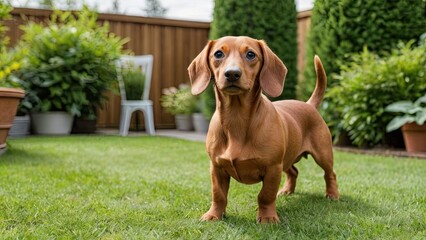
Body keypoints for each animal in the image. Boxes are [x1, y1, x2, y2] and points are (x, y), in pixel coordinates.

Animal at [188, 36, 338, 224]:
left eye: (251, 54)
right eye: (218, 54)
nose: (232, 73)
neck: (237, 119)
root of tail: (309, 104)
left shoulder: (273, 168)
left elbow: (266, 195)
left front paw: (267, 218)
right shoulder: (216, 167)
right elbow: (218, 195)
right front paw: (214, 214)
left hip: (322, 154)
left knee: (330, 173)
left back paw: (333, 195)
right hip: (287, 158)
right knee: (293, 172)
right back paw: (287, 190)